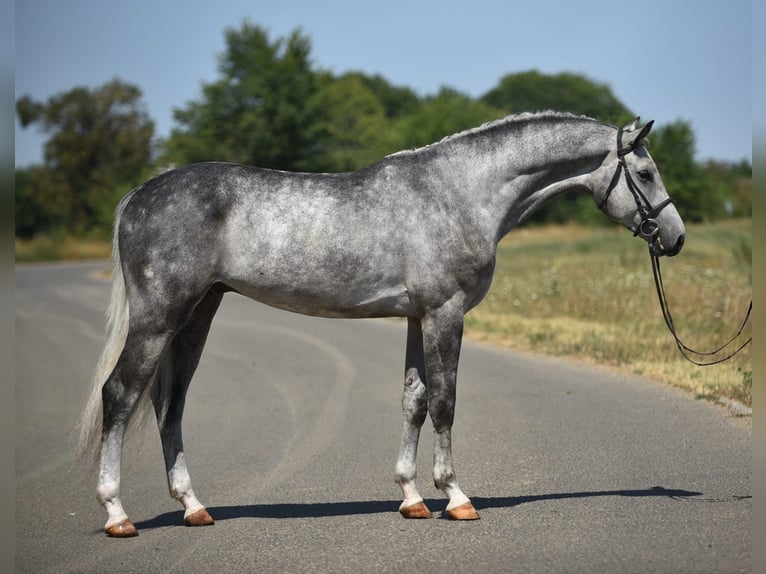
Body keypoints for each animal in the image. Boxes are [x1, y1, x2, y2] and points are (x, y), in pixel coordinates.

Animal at [78, 113, 688, 540]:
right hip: (160, 317)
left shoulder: (418, 317)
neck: (460, 192)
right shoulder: (445, 312)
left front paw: (412, 498)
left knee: (170, 405)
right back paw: (117, 514)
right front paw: (456, 498)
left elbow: (413, 399)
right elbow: (444, 401)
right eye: (645, 172)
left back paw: (194, 508)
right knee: (121, 394)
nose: (676, 238)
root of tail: (138, 195)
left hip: (196, 316)